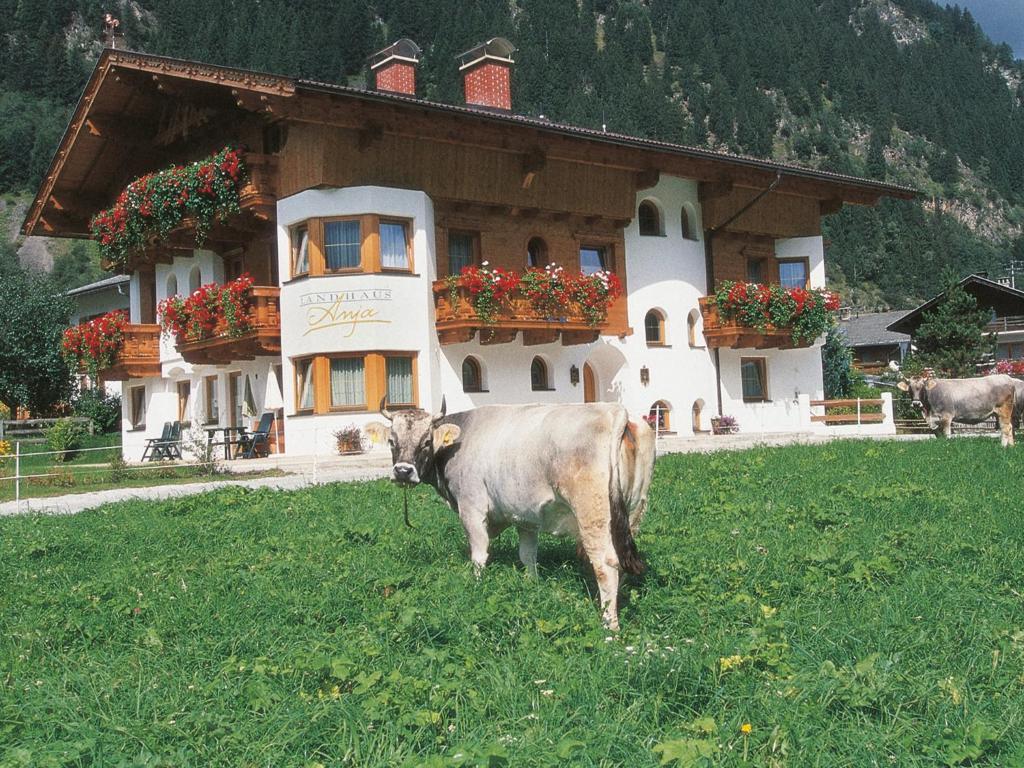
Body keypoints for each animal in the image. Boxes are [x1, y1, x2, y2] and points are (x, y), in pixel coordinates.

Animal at [368, 397, 655, 630]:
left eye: (426, 441)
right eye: (392, 441)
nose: (403, 471)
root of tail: (614, 411)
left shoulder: (471, 508)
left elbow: (479, 556)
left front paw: (477, 586)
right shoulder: (525, 515)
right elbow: (527, 555)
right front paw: (532, 586)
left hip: (592, 513)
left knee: (606, 564)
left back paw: (609, 624)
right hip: (631, 512)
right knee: (620, 560)